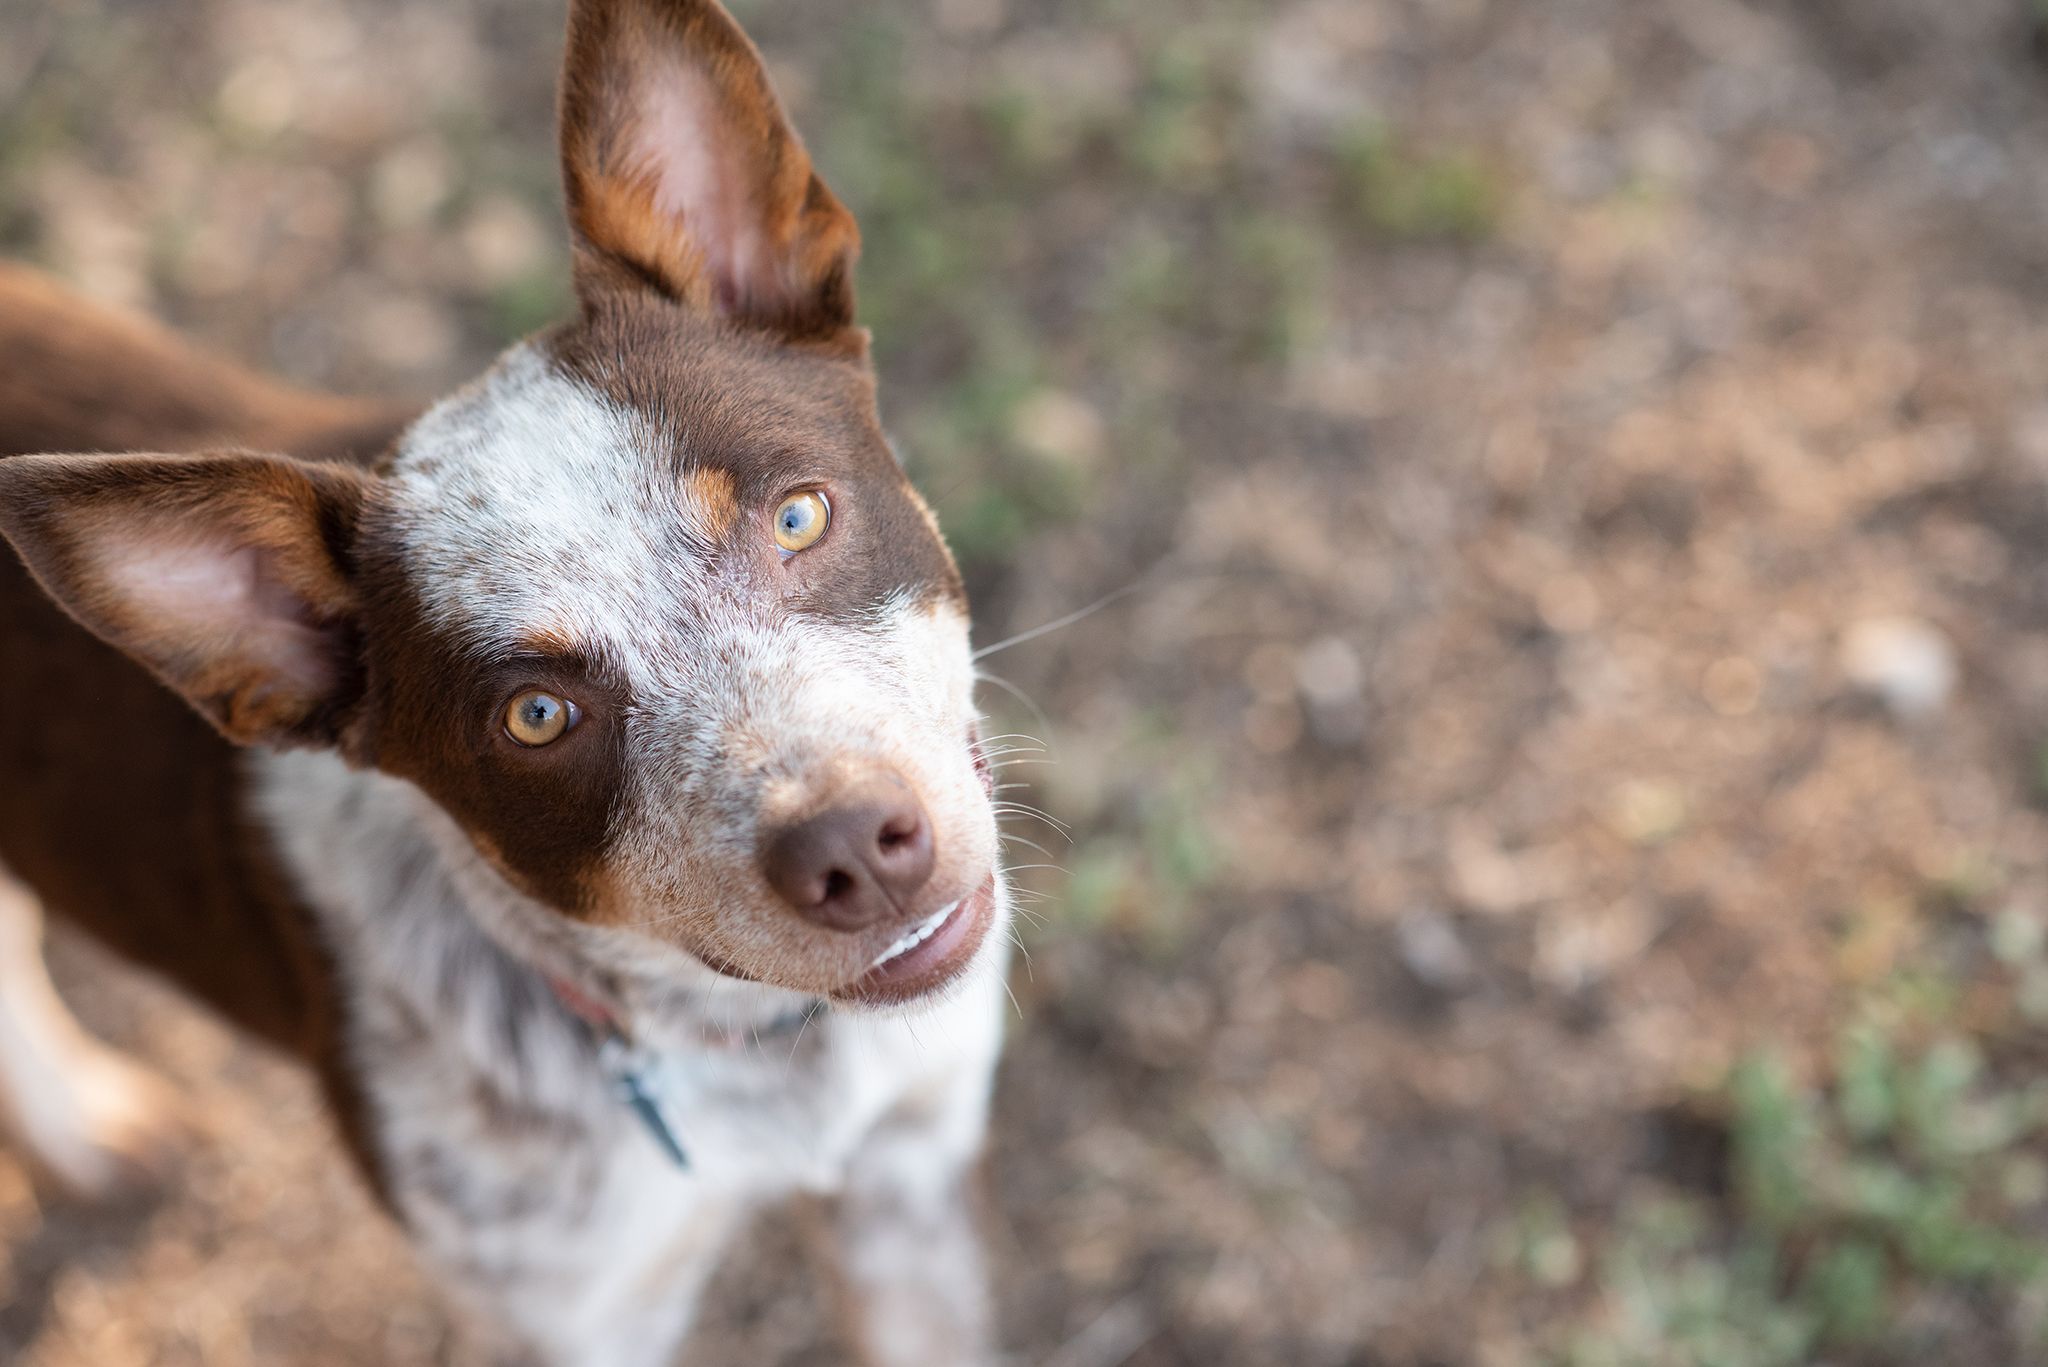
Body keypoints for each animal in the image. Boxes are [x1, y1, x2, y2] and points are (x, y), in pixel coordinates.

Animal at [0, 2, 1015, 1367]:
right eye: (538, 718)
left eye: (799, 516)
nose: (853, 843)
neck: (749, 1055)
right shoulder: (567, 1318)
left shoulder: (905, 1179)